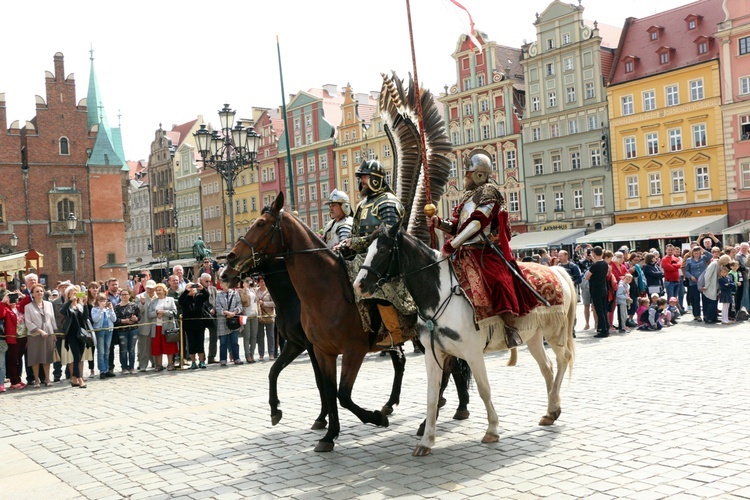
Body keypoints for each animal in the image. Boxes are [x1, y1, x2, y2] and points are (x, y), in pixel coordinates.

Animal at [356, 225, 580, 456]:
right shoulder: (433, 354)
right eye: (367, 249)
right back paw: (552, 411)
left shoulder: (472, 353)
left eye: (383, 250)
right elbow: (432, 396)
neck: (439, 295)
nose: (359, 284)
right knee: (547, 368)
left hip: (554, 330)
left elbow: (483, 389)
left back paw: (553, 405)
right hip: (534, 336)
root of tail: (557, 270)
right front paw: (426, 441)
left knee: (563, 360)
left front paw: (492, 429)